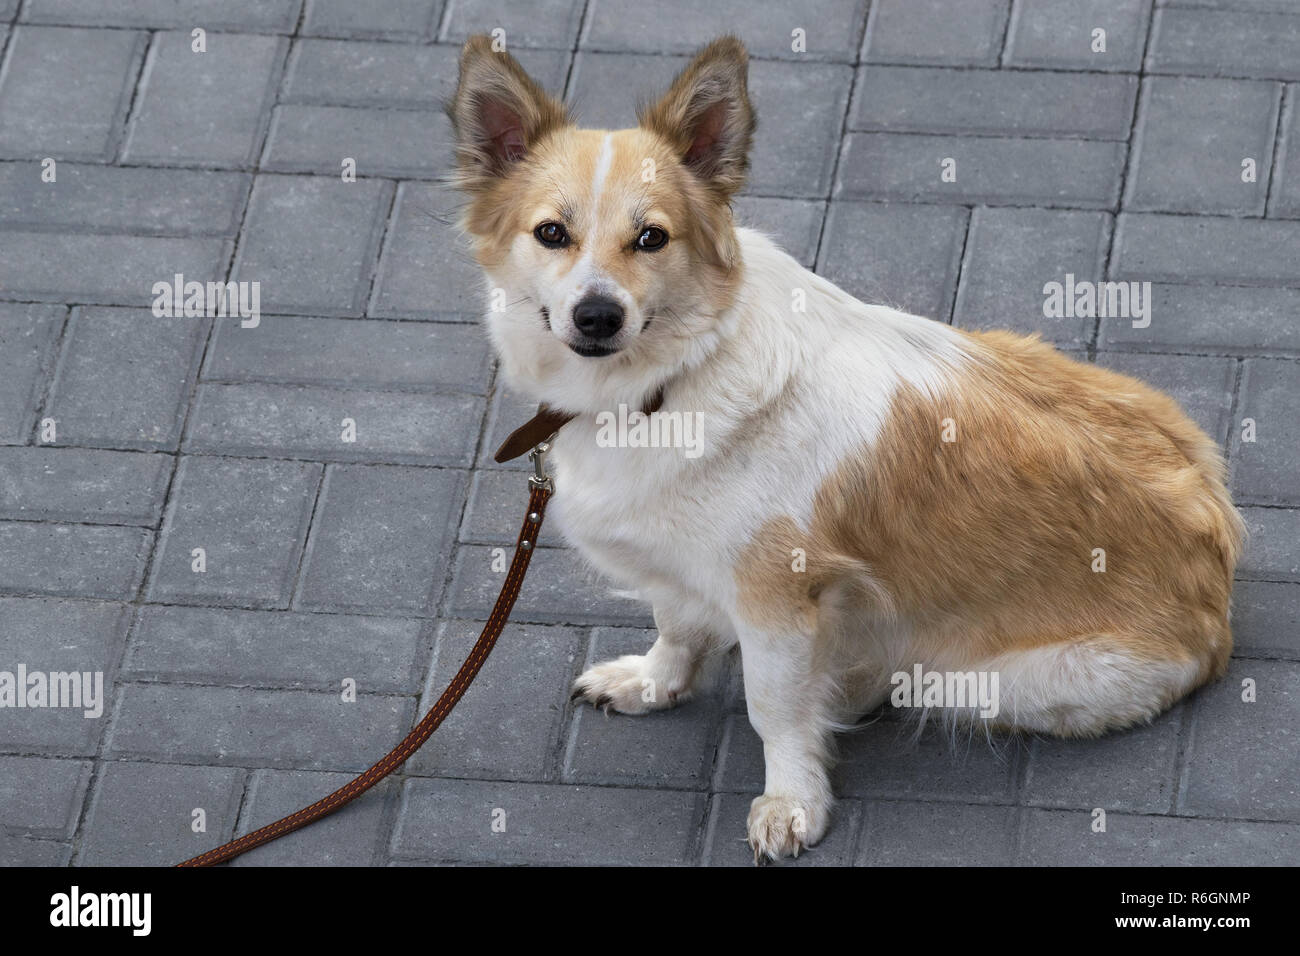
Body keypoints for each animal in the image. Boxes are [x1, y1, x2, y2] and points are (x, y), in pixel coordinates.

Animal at [449, 35, 1248, 858]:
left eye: (652, 238)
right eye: (552, 232)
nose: (598, 316)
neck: (670, 380)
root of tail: (1217, 590)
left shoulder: (777, 600)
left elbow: (774, 709)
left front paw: (792, 800)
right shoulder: (685, 563)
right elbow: (676, 627)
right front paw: (653, 682)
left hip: (980, 679)